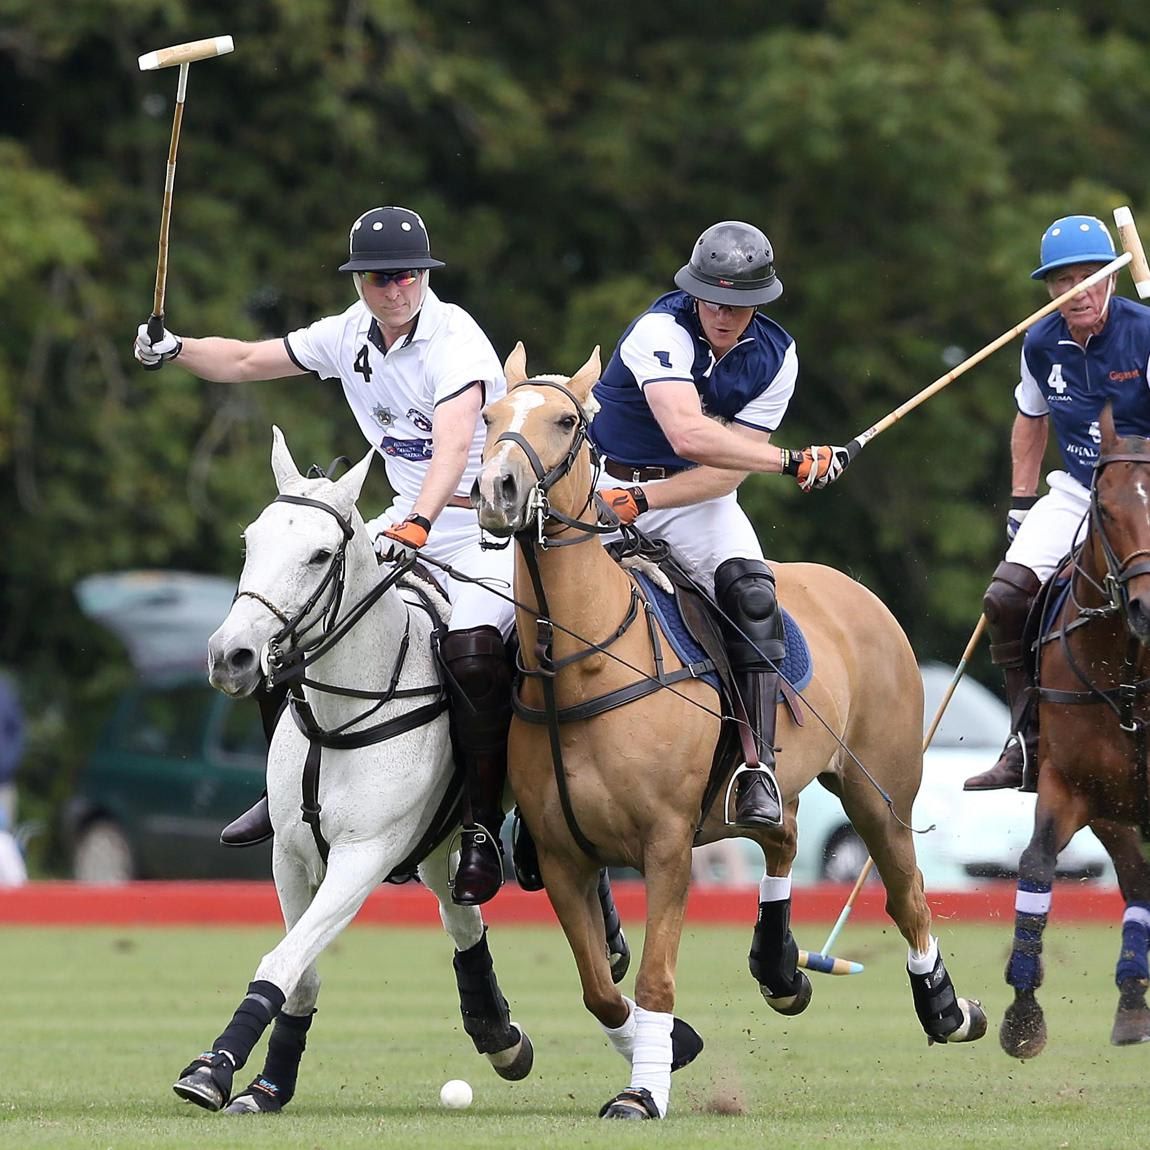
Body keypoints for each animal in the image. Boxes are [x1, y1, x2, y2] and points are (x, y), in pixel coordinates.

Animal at [170, 430, 529, 1113]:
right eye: (250, 541)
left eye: (318, 555)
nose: (231, 656)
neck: (343, 711)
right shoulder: (290, 854)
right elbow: (301, 972)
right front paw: (266, 1085)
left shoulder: (364, 854)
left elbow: (281, 961)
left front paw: (212, 1068)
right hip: (435, 844)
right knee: (461, 913)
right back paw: (498, 1033)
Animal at [476, 345, 989, 1117]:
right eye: (489, 417)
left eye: (565, 421)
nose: (497, 489)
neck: (582, 662)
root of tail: (854, 589)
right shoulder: (564, 856)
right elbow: (600, 989)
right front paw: (670, 1046)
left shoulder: (664, 845)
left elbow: (653, 976)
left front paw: (643, 1094)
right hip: (772, 777)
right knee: (782, 834)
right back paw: (783, 970)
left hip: (882, 790)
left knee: (906, 891)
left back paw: (947, 1010)